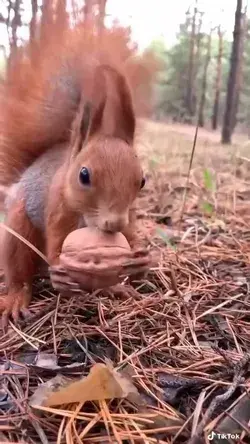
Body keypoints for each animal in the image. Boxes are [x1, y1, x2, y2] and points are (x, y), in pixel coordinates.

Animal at [0, 26, 149, 328]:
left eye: (142, 181)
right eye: (84, 175)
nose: (113, 223)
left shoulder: (129, 215)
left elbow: (130, 236)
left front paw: (141, 257)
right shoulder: (58, 207)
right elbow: (56, 244)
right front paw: (60, 271)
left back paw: (115, 288)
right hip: (18, 227)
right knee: (19, 268)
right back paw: (17, 298)